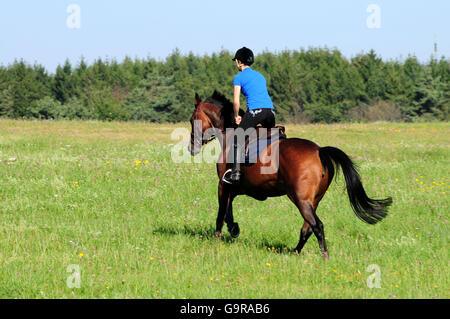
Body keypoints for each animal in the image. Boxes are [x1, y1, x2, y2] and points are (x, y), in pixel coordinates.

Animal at [188, 90, 392, 260]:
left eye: (192, 119)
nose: (192, 148)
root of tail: (320, 151)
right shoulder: (235, 188)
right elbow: (228, 211)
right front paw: (234, 229)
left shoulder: (223, 185)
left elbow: (221, 213)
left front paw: (217, 238)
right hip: (313, 200)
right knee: (307, 228)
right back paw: (295, 252)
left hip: (300, 198)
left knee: (317, 225)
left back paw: (324, 256)